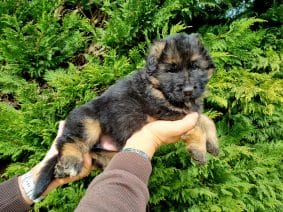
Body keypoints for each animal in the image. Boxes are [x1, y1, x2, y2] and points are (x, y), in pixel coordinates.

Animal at [33, 33, 220, 199]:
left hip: (110, 153)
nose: (188, 91)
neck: (158, 87)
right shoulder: (167, 112)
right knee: (69, 140)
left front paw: (213, 143)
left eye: (195, 67)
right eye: (172, 70)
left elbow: (206, 120)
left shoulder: (189, 111)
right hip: (88, 120)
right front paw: (199, 150)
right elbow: (196, 126)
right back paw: (69, 162)